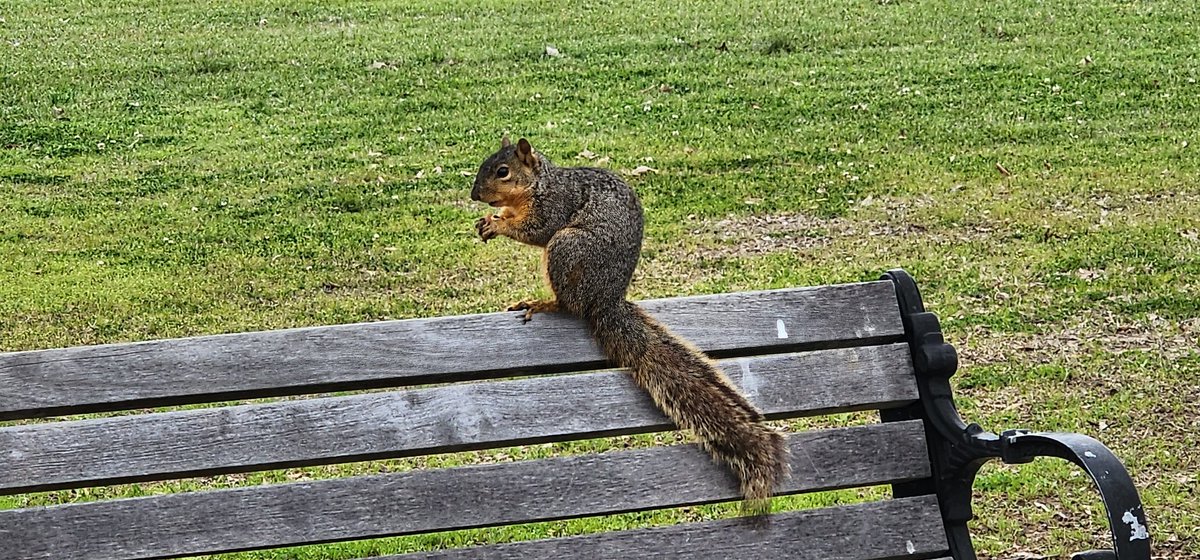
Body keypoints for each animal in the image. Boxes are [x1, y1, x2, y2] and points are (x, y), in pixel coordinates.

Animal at [470, 136, 787, 513]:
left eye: (503, 171)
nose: (474, 195)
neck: (539, 184)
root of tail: (605, 300)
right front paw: (491, 219)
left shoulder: (555, 206)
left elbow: (537, 229)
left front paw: (498, 224)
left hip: (567, 248)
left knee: (567, 302)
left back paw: (543, 303)